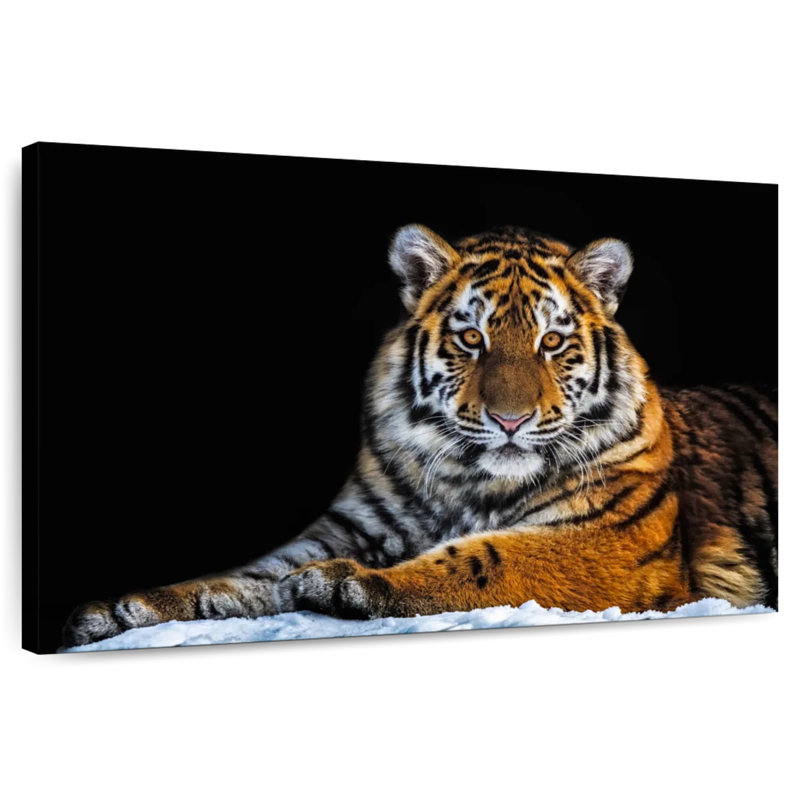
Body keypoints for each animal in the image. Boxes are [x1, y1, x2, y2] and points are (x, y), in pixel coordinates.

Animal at [63, 224, 778, 647]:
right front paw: (126, 608)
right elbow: (248, 577)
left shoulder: (607, 540)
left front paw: (346, 586)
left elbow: (491, 558)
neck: (471, 481)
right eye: (472, 338)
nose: (510, 420)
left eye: (551, 343)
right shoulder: (347, 526)